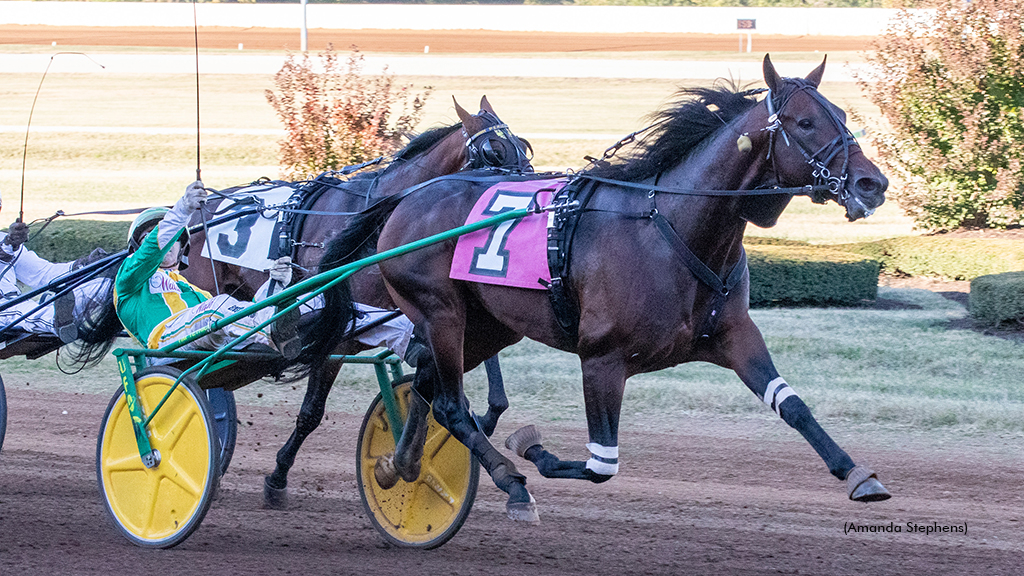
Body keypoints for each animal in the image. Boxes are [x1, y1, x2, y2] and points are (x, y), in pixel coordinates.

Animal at [185, 96, 536, 504]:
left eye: (523, 147)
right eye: (493, 151)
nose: (528, 186)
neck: (376, 225)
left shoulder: (436, 307)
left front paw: (483, 418)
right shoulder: (340, 331)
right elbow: (311, 411)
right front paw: (277, 476)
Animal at [315, 57, 892, 520]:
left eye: (842, 116)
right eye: (805, 122)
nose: (873, 184)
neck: (674, 228)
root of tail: (409, 196)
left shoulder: (733, 336)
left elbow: (792, 405)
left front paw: (859, 474)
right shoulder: (602, 359)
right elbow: (601, 465)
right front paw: (532, 451)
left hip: (487, 327)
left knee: (428, 386)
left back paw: (398, 464)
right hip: (442, 314)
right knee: (452, 403)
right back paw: (509, 483)